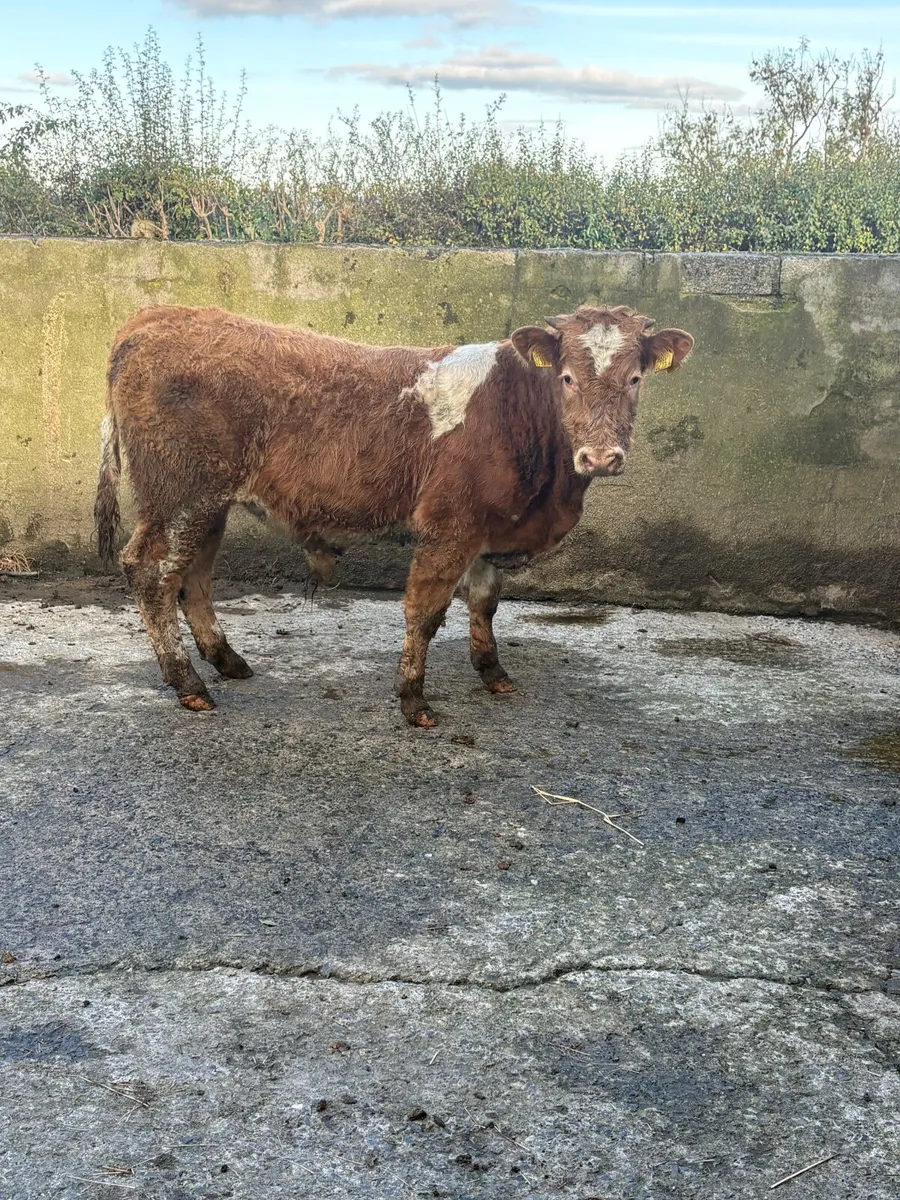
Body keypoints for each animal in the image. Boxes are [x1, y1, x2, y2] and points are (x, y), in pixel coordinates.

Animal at [94, 304, 693, 726]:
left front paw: (493, 673)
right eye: (567, 377)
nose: (601, 457)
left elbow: (485, 602)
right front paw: (413, 700)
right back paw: (187, 683)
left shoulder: (487, 529)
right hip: (179, 495)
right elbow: (425, 612)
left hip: (207, 501)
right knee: (152, 572)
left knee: (193, 575)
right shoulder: (450, 526)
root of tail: (157, 316)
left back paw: (225, 660)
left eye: (636, 378)